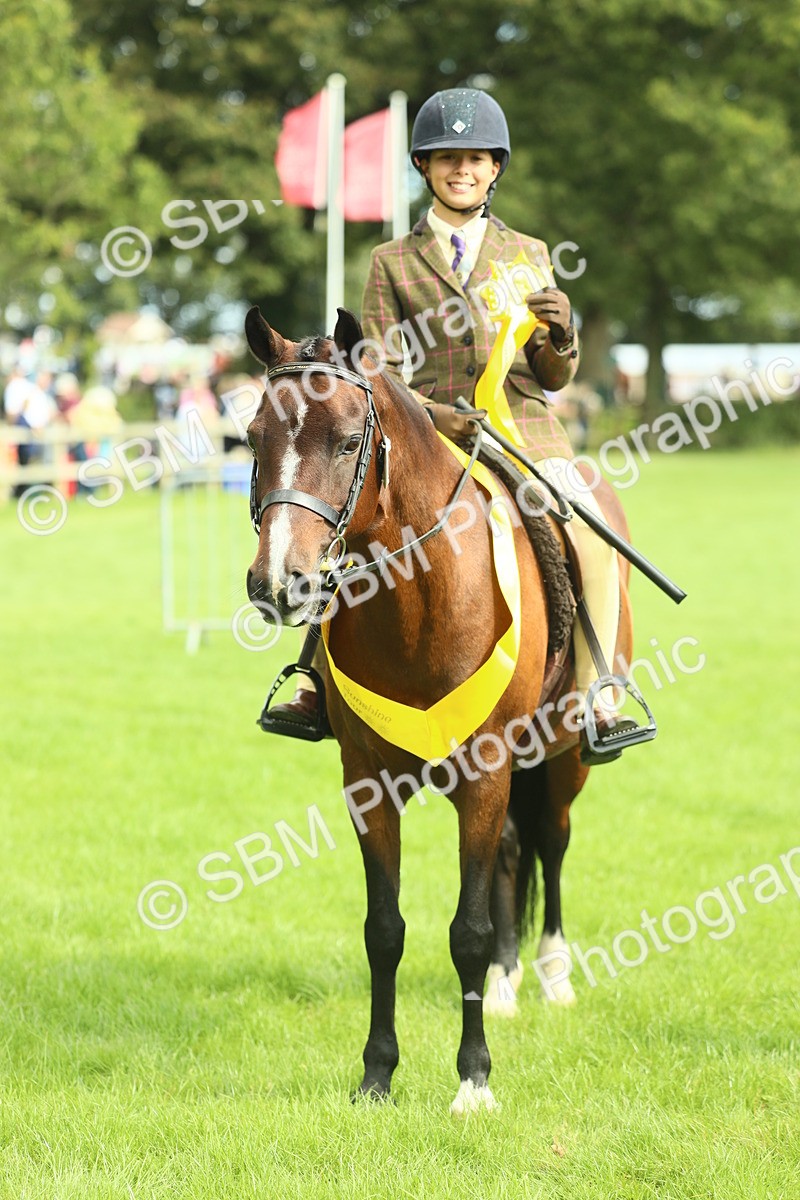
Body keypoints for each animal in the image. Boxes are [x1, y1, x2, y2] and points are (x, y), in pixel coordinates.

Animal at [243, 305, 634, 1114]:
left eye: (348, 440)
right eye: (252, 437)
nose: (279, 583)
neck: (417, 600)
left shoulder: (483, 776)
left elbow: (469, 931)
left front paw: (474, 1081)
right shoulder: (367, 784)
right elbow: (384, 930)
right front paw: (376, 1075)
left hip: (561, 758)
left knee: (552, 842)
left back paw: (552, 974)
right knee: (516, 853)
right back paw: (510, 985)